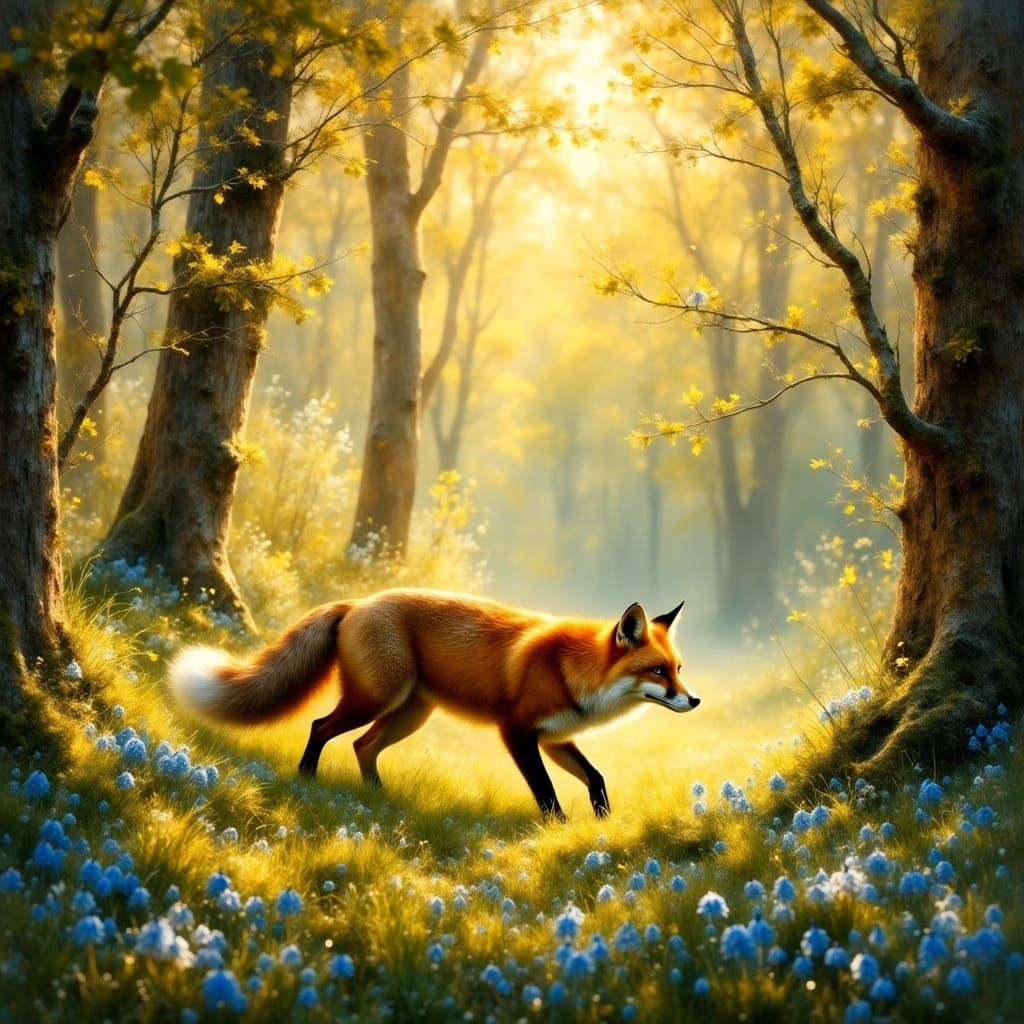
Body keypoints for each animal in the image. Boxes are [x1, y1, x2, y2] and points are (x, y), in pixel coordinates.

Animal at [168, 588, 700, 819]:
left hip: (408, 714)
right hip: (374, 699)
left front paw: (603, 825)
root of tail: (358, 601)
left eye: (678, 668)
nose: (694, 700)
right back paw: (306, 779)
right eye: (657, 672)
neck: (573, 671)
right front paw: (560, 830)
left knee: (362, 746)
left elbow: (597, 778)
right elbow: (547, 794)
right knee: (321, 726)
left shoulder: (555, 738)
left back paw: (377, 796)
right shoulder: (517, 731)